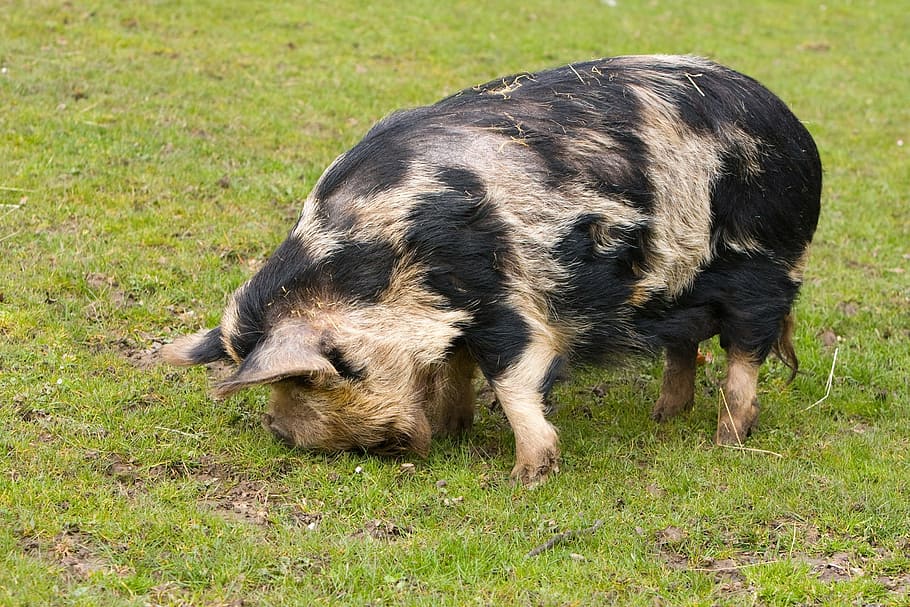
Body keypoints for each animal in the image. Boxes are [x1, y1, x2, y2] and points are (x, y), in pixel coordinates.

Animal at [162, 55, 822, 485]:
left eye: (317, 374)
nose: (280, 430)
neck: (386, 264)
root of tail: (795, 127)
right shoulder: (455, 315)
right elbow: (457, 365)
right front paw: (454, 430)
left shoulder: (505, 298)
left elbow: (512, 376)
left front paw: (527, 477)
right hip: (676, 293)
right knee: (684, 346)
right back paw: (664, 419)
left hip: (764, 265)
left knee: (746, 351)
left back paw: (727, 438)